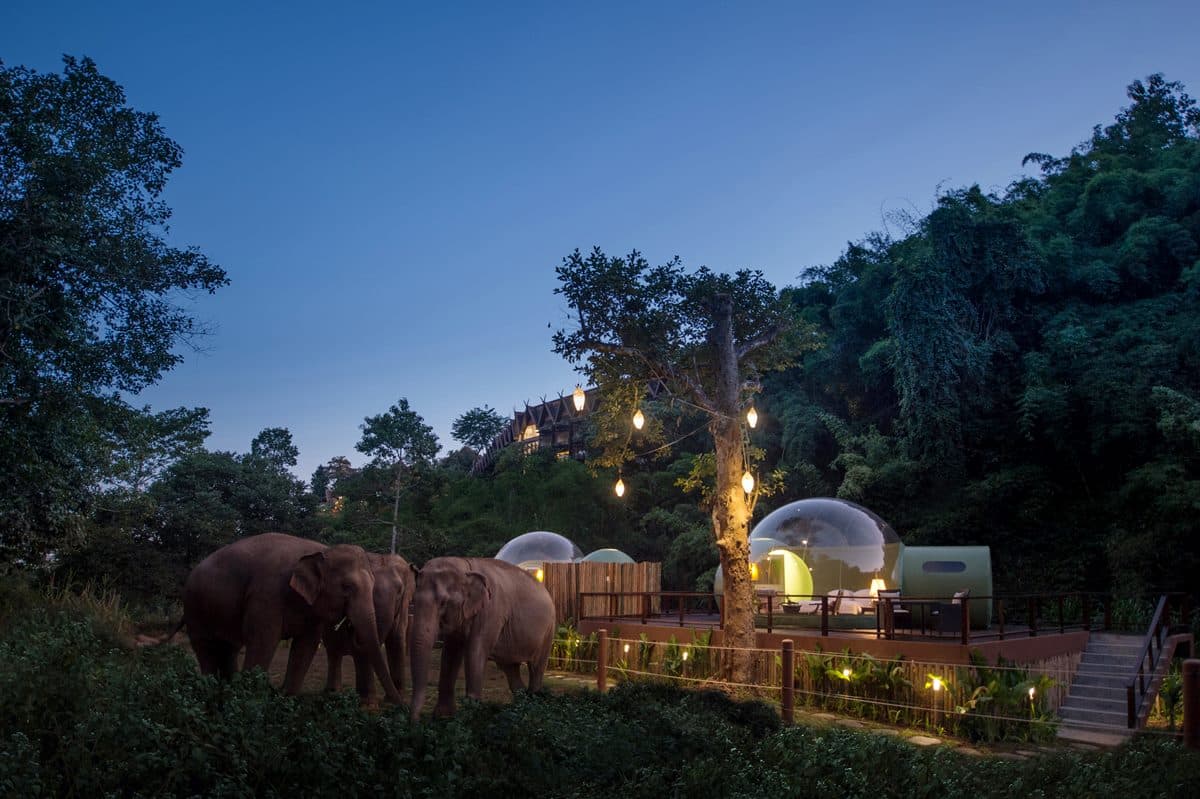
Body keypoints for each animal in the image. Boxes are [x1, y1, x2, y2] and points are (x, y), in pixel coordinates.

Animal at [179, 533, 402, 702]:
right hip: (193, 606)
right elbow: (263, 642)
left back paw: (226, 686)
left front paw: (285, 697)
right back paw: (211, 688)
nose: (398, 704)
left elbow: (306, 645)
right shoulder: (266, 594)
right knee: (205, 646)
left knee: (229, 647)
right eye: (346, 587)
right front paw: (251, 698)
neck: (323, 550)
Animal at [322, 552, 412, 704]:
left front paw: (396, 701)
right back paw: (333, 694)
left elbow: (396, 637)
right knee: (333, 651)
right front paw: (368, 704)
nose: (350, 627)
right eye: (371, 590)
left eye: (400, 590)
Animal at [409, 556, 556, 721]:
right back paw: (519, 706)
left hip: (548, 631)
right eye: (412, 600)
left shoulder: (491, 611)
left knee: (536, 667)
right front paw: (443, 717)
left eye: (443, 603)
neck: (465, 565)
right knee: (511, 669)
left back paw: (533, 705)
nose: (415, 721)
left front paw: (470, 715)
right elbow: (449, 654)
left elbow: (475, 652)